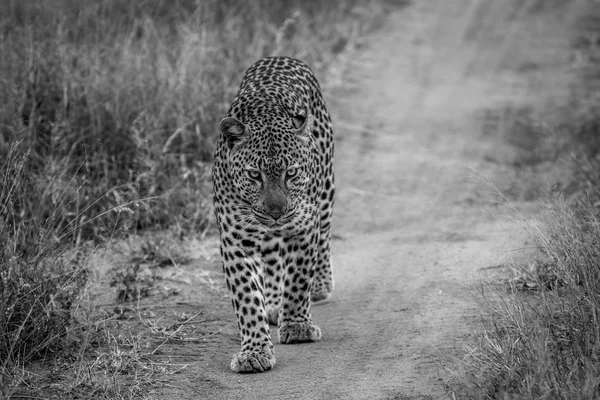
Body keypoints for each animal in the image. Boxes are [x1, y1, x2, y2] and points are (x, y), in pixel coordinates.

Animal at [212, 55, 336, 372]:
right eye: (254, 175)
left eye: (291, 173)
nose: (277, 213)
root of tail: (279, 56)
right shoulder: (236, 240)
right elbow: (246, 296)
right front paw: (254, 351)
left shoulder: (304, 227)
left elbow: (298, 279)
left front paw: (297, 326)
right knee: (271, 261)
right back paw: (273, 304)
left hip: (326, 194)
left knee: (325, 237)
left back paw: (320, 285)